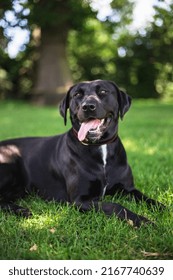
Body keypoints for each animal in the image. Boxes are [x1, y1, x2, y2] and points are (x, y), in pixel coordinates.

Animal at [0, 80, 164, 226]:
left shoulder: (128, 189)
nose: (88, 107)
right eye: (77, 94)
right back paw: (21, 210)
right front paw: (141, 220)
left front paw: (162, 207)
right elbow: (114, 205)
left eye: (103, 91)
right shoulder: (81, 200)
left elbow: (146, 198)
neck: (100, 146)